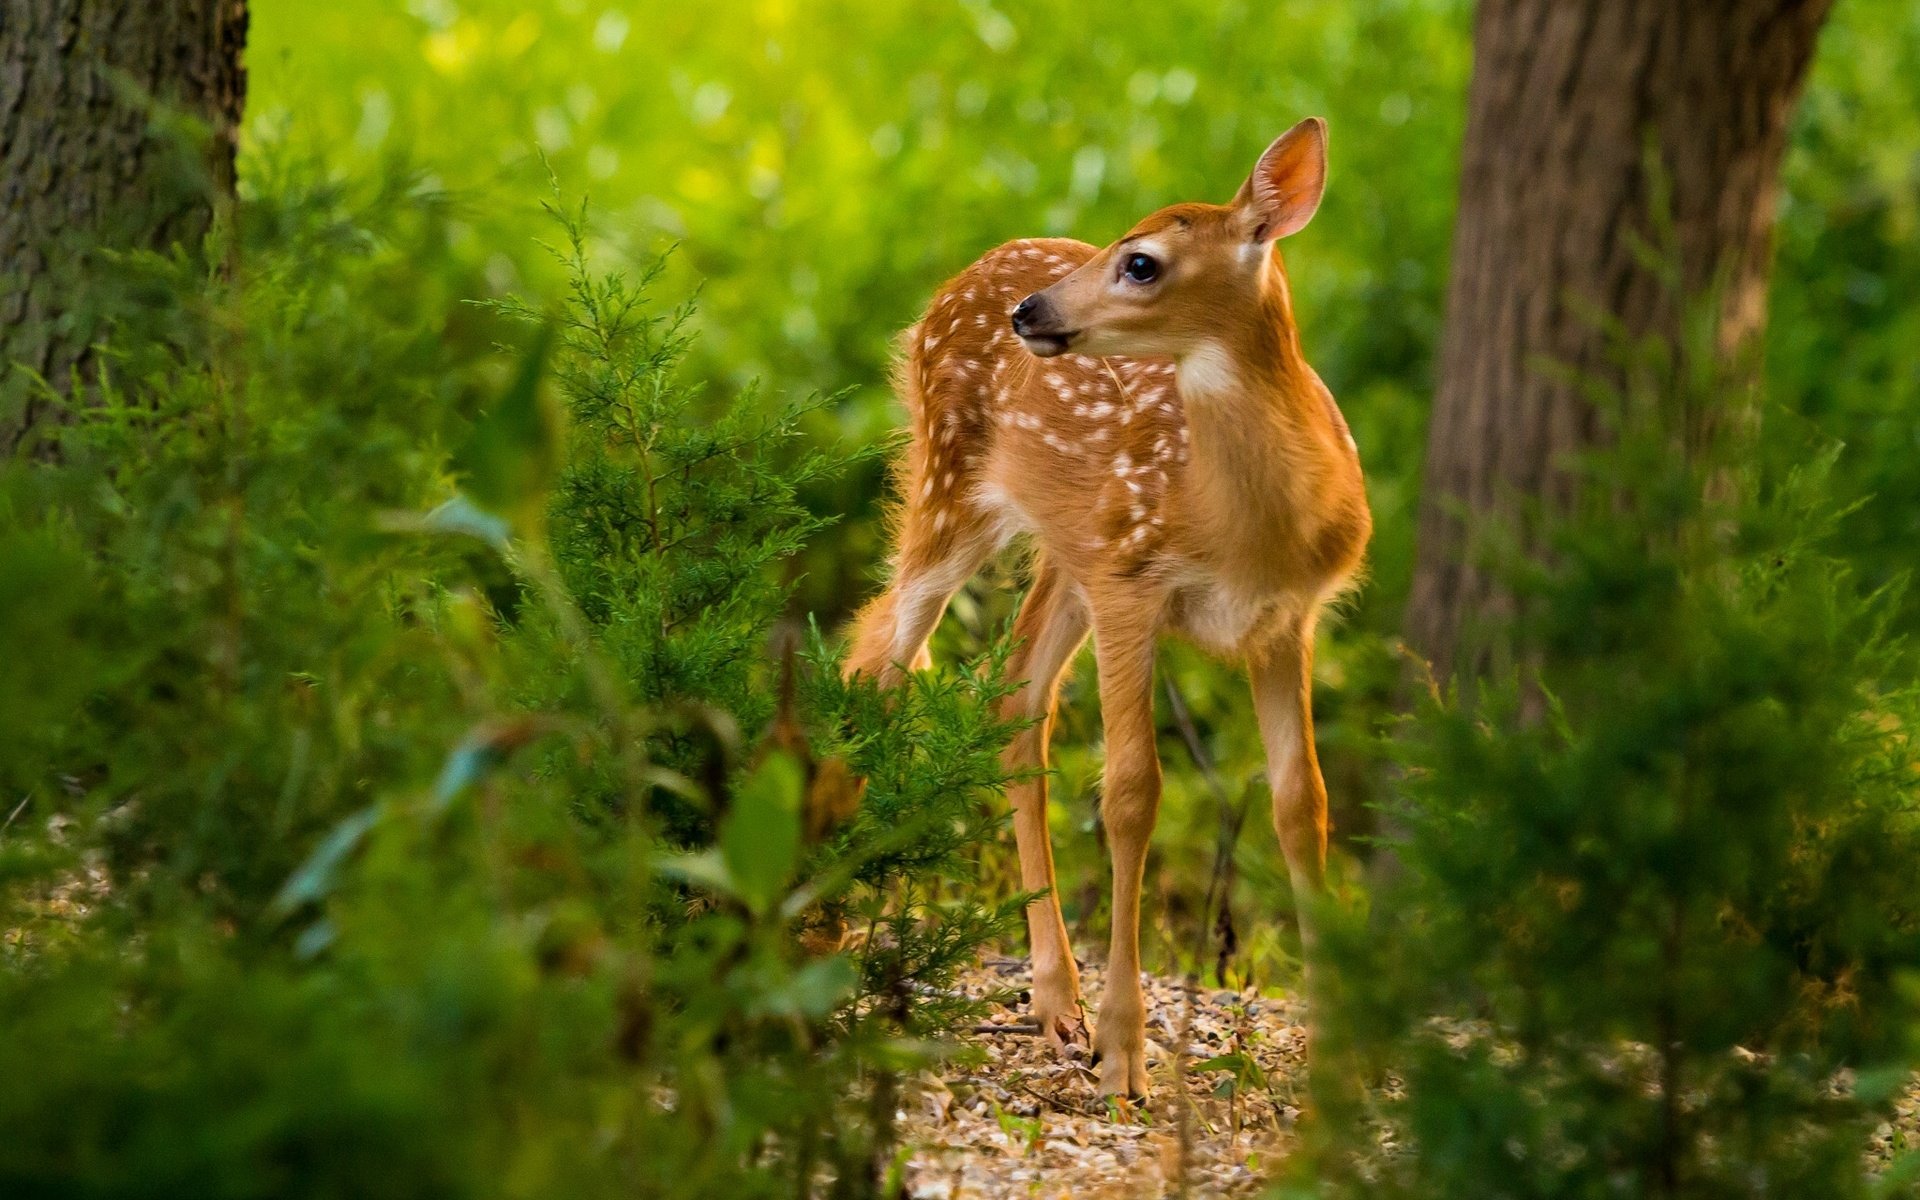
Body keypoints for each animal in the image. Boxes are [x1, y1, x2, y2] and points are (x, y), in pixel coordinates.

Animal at [848, 114, 1374, 1098]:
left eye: (1140, 262)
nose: (1031, 314)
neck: (1245, 526)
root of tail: (961, 278)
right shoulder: (1135, 584)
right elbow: (1133, 791)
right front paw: (1126, 1053)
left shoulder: (1287, 620)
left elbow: (1303, 803)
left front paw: (1337, 1062)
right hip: (949, 485)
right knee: (880, 657)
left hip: (1069, 551)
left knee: (1013, 697)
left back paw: (1056, 1000)